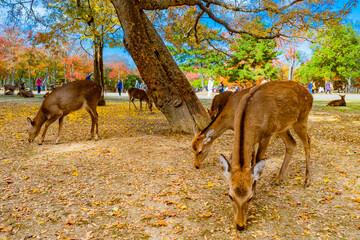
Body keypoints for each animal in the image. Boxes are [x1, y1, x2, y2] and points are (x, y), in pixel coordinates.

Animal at [218, 80, 314, 231]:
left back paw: (306, 181)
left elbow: (257, 161)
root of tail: (310, 95)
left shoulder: (268, 135)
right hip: (283, 127)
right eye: (230, 196)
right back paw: (278, 179)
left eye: (250, 198)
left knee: (308, 141)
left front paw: (256, 188)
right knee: (292, 143)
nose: (240, 226)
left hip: (301, 119)